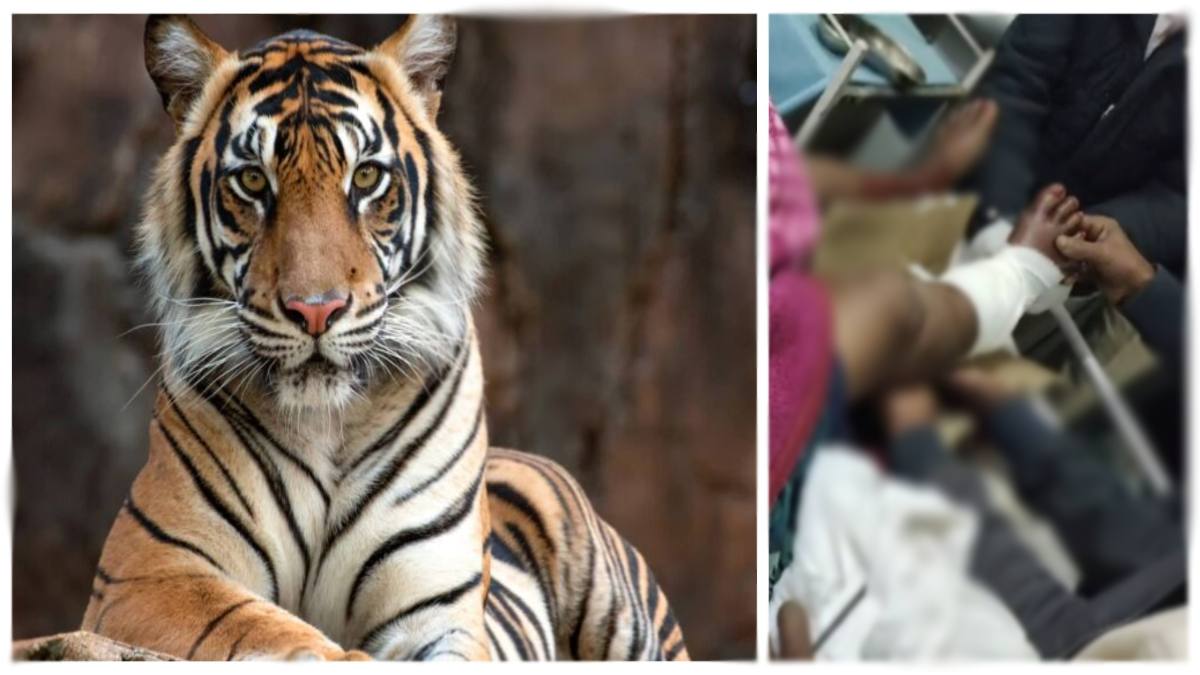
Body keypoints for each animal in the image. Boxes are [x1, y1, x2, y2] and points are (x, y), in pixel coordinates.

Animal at [79, 15, 688, 662]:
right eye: (253, 181)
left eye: (366, 176)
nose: (315, 310)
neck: (327, 421)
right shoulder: (151, 572)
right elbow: (263, 625)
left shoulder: (437, 606)